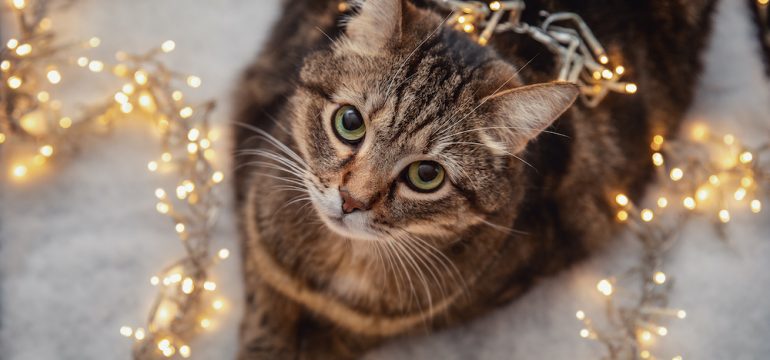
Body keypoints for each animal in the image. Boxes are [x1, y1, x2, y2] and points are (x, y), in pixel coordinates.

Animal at [232, 0, 712, 358]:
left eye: (427, 175)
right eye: (350, 122)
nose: (352, 200)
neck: (342, 265)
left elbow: (337, 341)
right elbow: (265, 318)